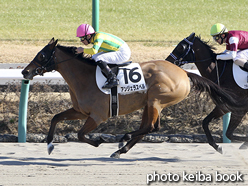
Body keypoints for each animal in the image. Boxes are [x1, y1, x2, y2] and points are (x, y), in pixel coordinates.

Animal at [22, 38, 243, 158]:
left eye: (42, 55)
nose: (25, 72)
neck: (84, 77)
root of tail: (184, 72)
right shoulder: (80, 111)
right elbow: (56, 118)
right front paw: (49, 145)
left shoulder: (97, 116)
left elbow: (80, 135)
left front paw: (99, 140)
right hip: (149, 103)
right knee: (150, 127)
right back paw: (122, 148)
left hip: (156, 100)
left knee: (150, 127)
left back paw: (123, 139)